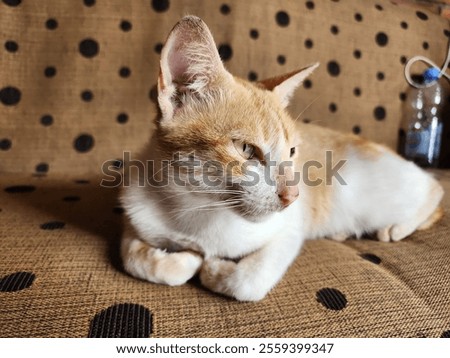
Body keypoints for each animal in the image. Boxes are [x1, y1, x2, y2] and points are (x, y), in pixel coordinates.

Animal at [118, 16, 442, 302]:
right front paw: (180, 260)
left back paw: (398, 226)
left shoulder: (290, 229)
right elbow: (133, 257)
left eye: (292, 152)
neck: (196, 205)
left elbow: (248, 280)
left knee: (435, 189)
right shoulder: (135, 214)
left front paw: (213, 269)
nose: (292, 195)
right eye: (246, 149)